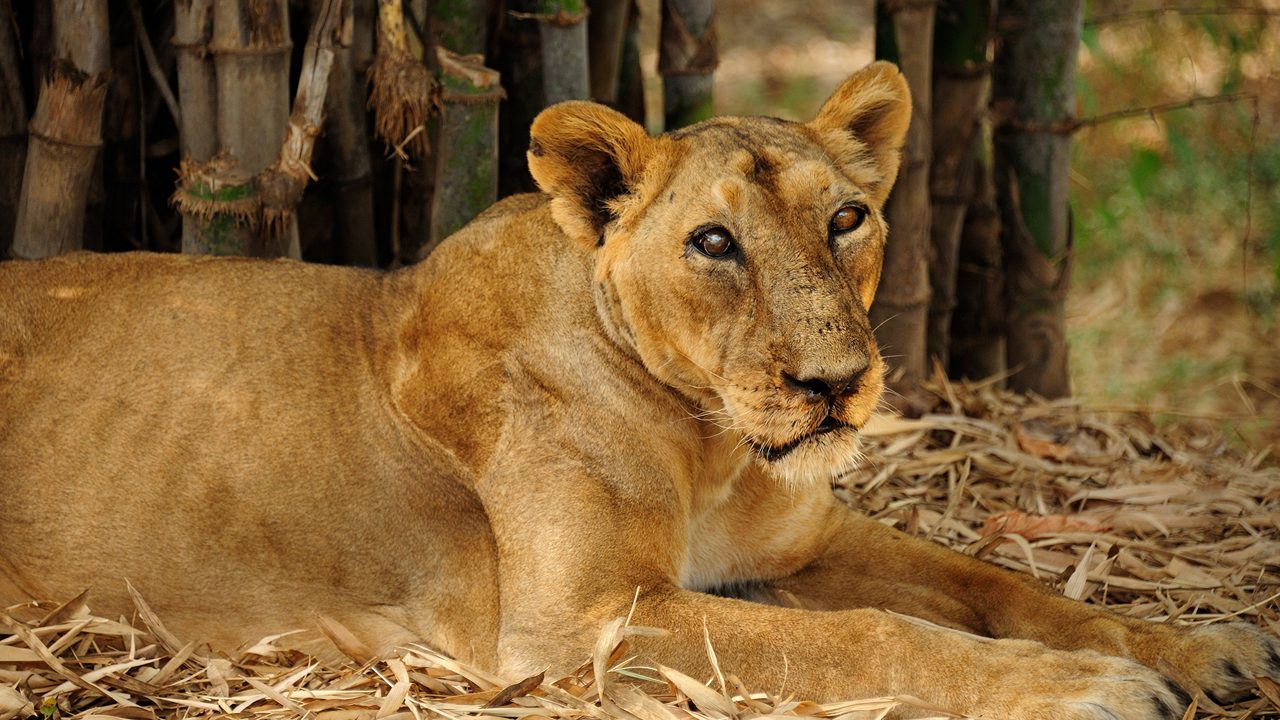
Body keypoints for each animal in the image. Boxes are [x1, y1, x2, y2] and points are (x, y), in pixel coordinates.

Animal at [1, 62, 1276, 719]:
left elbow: (995, 583)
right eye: (713, 243)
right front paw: (1086, 690)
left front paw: (1190, 647)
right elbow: (868, 639)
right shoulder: (578, 624)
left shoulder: (805, 543)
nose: (836, 384)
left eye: (844, 218)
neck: (709, 443)